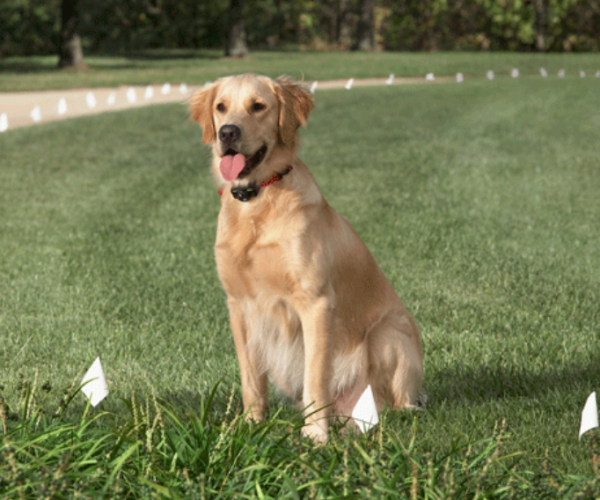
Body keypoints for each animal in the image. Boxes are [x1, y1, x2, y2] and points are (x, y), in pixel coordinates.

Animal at [191, 72, 422, 440]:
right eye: (221, 106)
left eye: (258, 106)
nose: (228, 132)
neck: (257, 201)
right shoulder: (239, 305)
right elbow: (251, 379)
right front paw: (250, 426)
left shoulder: (315, 302)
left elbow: (315, 377)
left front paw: (315, 435)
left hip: (387, 334)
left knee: (399, 405)